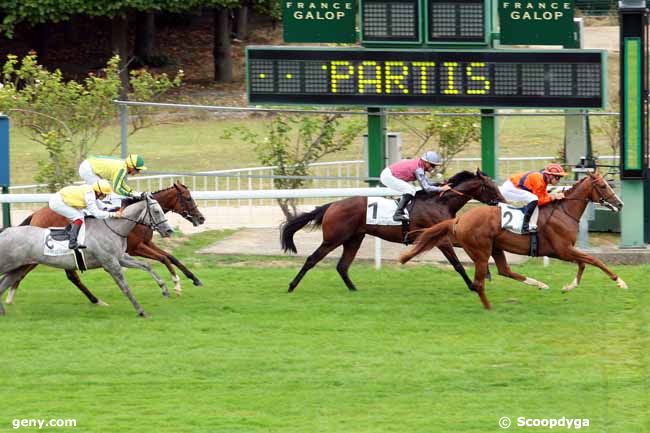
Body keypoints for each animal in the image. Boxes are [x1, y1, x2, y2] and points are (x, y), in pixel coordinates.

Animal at [4, 181, 202, 306]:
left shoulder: (144, 244)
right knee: (32, 271)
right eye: (188, 198)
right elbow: (164, 258)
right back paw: (10, 295)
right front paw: (176, 284)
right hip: (40, 253)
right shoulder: (136, 248)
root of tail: (35, 214)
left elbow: (170, 257)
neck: (135, 219)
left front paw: (193, 279)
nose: (201, 218)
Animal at [278, 168, 502, 290]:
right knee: (312, 259)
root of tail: (332, 205)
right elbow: (457, 264)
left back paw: (354, 290)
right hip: (333, 238)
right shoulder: (441, 239)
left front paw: (487, 273)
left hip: (354, 238)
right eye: (491, 187)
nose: (502, 201)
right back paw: (291, 286)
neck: (440, 202)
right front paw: (473, 285)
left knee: (342, 266)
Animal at [398, 170, 624, 308]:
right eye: (603, 186)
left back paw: (539, 284)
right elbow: (593, 260)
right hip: (481, 251)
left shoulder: (565, 251)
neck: (564, 211)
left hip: (495, 247)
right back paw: (489, 307)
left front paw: (568, 287)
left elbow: (583, 264)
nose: (620, 204)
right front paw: (620, 282)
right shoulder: (563, 249)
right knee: (481, 281)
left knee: (504, 270)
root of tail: (459, 218)